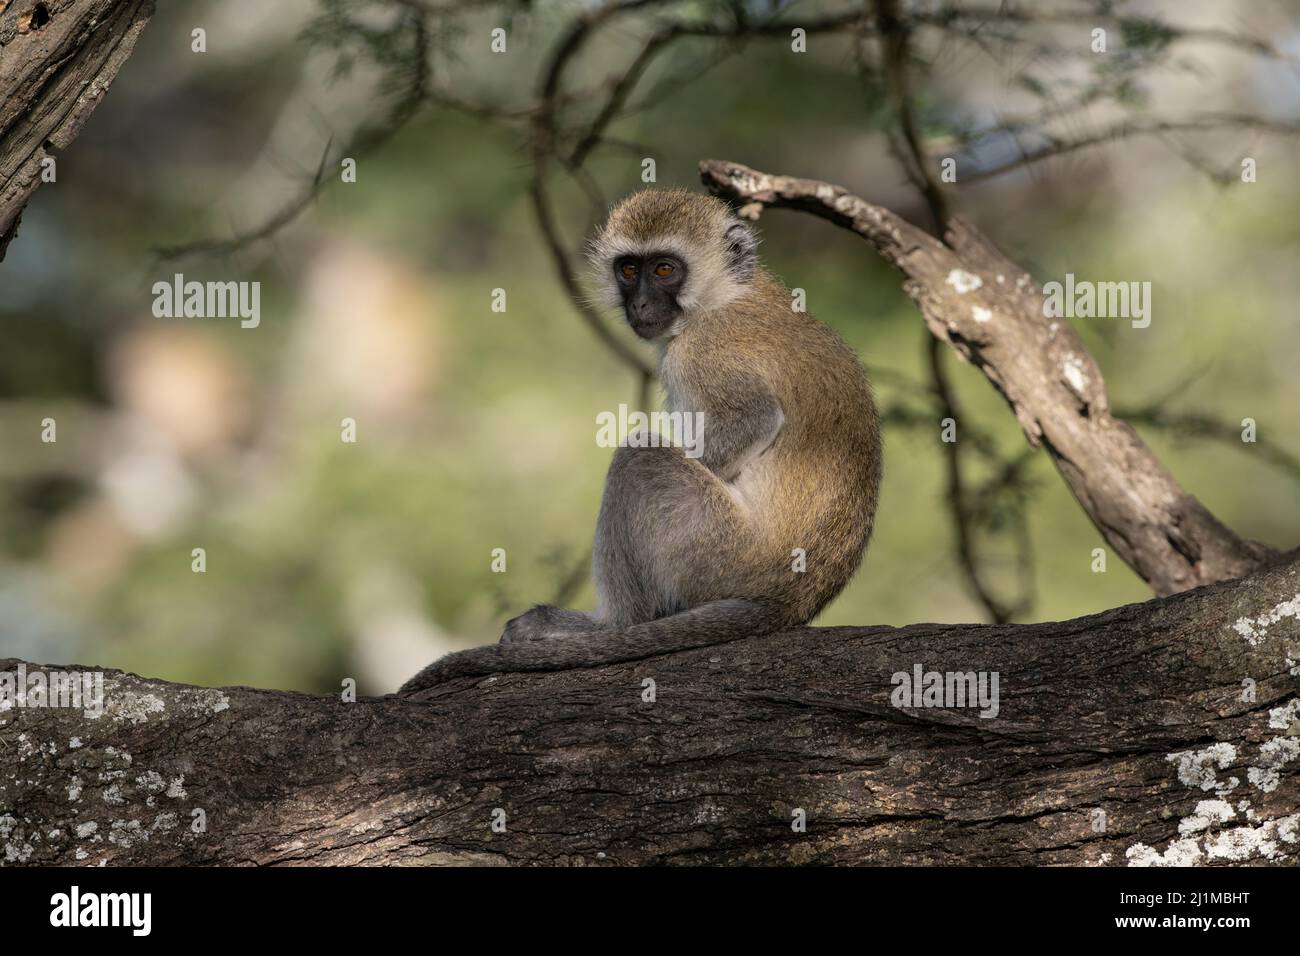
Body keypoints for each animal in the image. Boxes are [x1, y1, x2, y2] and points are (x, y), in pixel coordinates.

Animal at [400, 188, 878, 697]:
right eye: (629, 270)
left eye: (665, 270)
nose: (641, 306)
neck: (726, 295)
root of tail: (791, 598)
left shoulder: (702, 352)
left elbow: (755, 420)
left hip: (719, 551)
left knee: (638, 457)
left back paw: (610, 626)